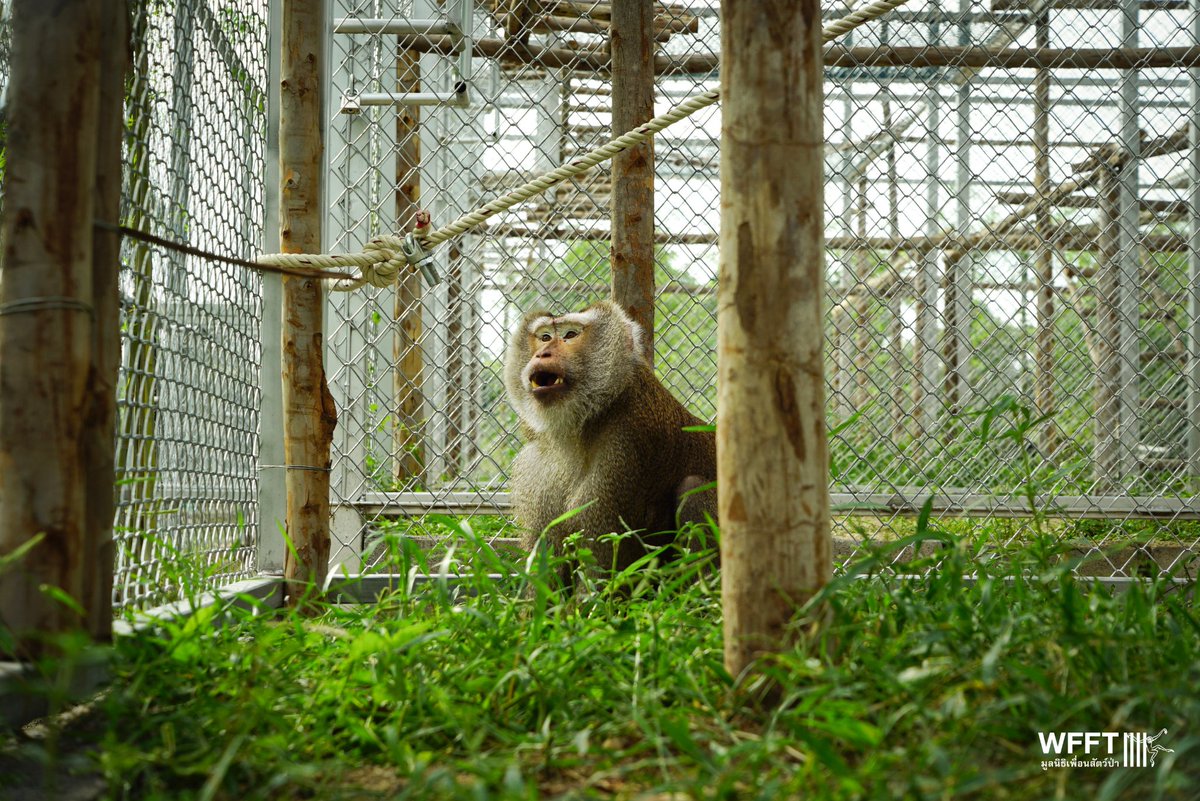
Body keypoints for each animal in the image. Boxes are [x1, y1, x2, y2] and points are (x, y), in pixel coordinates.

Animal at [503, 299, 717, 586]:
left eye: (570, 335)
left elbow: (604, 568)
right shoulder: (535, 460)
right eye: (545, 337)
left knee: (694, 489)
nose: (542, 354)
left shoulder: (627, 446)